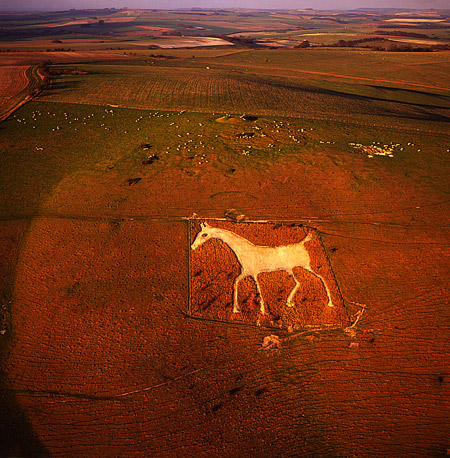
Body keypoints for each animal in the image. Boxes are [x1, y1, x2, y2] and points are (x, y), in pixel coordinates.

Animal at [186, 219, 348, 330]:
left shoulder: (253, 273)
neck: (244, 250)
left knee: (319, 278)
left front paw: (263, 311)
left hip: (303, 266)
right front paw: (236, 309)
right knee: (306, 281)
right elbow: (236, 283)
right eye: (197, 234)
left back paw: (328, 303)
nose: (193, 247)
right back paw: (293, 302)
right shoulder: (245, 272)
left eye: (204, 234)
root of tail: (302, 243)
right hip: (292, 269)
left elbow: (258, 290)